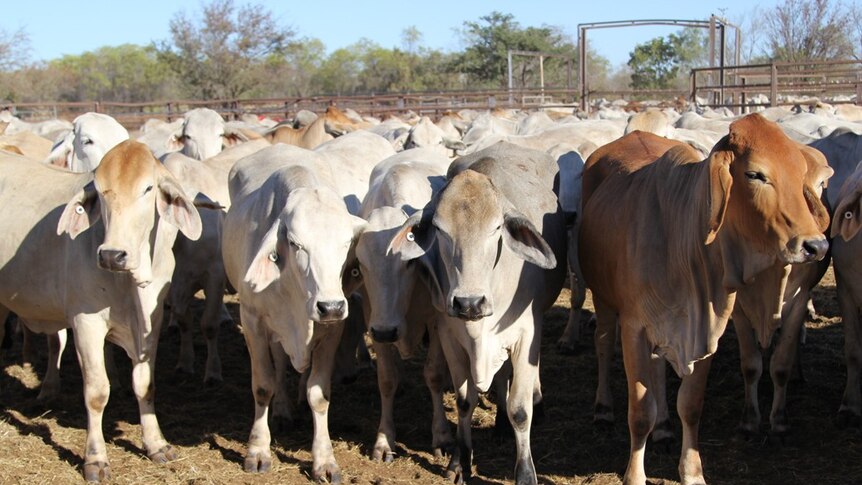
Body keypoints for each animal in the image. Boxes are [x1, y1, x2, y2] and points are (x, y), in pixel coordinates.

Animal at [580, 114, 832, 484]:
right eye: (755, 174)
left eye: (802, 173)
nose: (816, 245)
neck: (680, 240)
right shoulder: (634, 328)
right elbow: (639, 413)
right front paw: (634, 475)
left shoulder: (705, 328)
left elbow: (691, 405)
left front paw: (691, 471)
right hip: (603, 299)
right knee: (601, 345)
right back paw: (602, 409)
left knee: (659, 372)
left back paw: (664, 429)